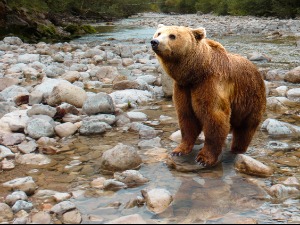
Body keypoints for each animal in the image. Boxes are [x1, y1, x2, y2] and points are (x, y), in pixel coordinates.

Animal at [151, 25, 266, 168]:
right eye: (158, 33)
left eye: (172, 36)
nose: (154, 42)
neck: (196, 72)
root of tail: (257, 70)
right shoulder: (183, 88)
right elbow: (187, 118)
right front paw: (179, 150)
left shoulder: (210, 84)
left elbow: (214, 117)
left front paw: (203, 158)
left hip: (250, 98)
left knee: (245, 128)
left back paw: (237, 149)